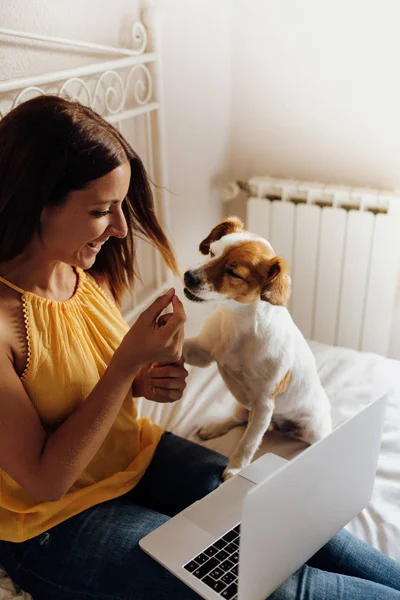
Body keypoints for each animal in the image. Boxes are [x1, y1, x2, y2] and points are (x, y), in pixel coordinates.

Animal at [181, 218, 332, 480]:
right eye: (212, 253)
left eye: (233, 273)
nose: (188, 276)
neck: (238, 324)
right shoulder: (202, 353)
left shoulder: (263, 405)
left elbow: (248, 443)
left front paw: (236, 469)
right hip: (243, 406)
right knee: (238, 418)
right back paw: (215, 427)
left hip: (312, 428)